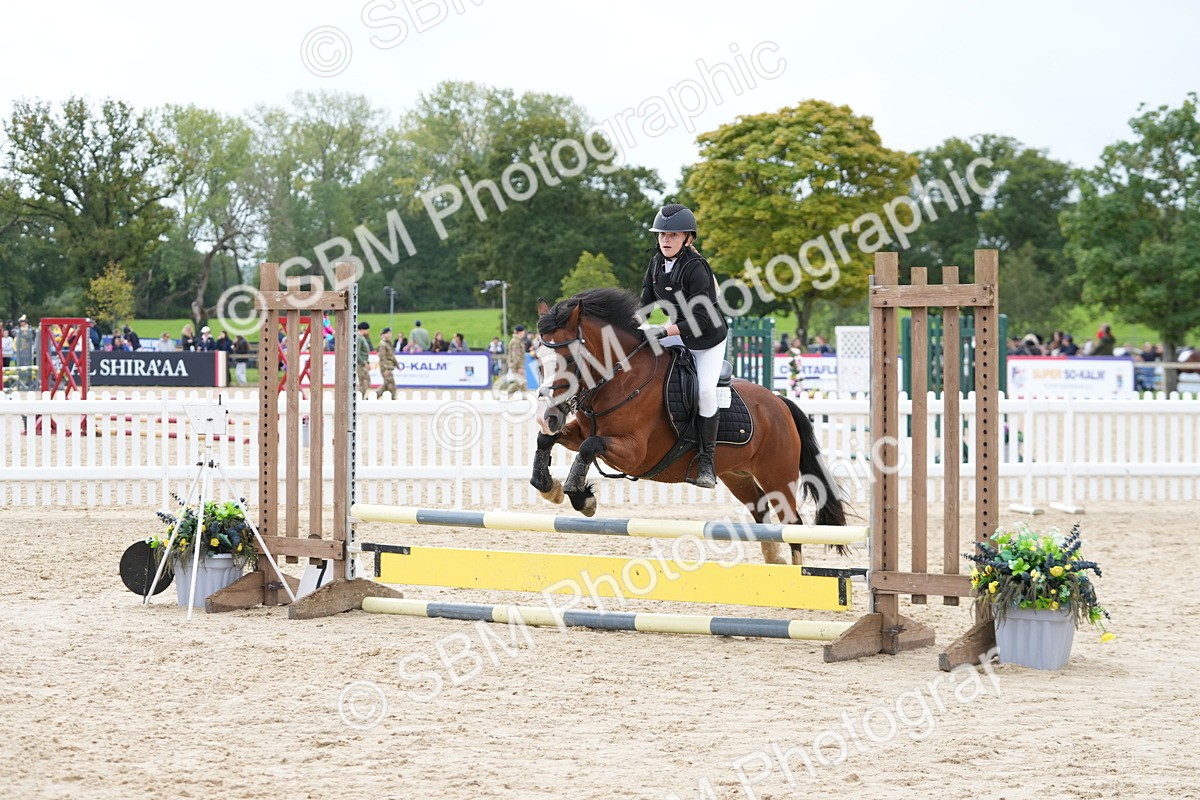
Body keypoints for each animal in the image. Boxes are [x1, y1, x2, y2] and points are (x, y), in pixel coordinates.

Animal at [528, 287, 848, 566]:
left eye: (569, 359)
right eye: (537, 359)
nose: (547, 416)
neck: (621, 380)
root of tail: (779, 402)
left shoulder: (634, 453)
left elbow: (588, 447)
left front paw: (581, 497)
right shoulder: (581, 431)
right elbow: (547, 440)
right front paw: (550, 488)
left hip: (778, 475)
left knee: (792, 523)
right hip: (736, 474)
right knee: (761, 511)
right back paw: (774, 562)